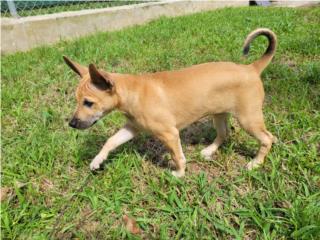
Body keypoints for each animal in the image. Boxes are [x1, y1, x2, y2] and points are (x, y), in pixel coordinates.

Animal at [64, 28, 278, 178]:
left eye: (88, 103)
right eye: (77, 100)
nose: (71, 124)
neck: (133, 92)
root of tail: (251, 68)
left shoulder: (170, 134)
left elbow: (177, 156)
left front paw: (179, 174)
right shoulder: (132, 128)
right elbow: (111, 141)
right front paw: (97, 160)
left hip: (248, 118)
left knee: (268, 138)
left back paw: (256, 163)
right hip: (219, 114)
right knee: (224, 133)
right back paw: (210, 150)